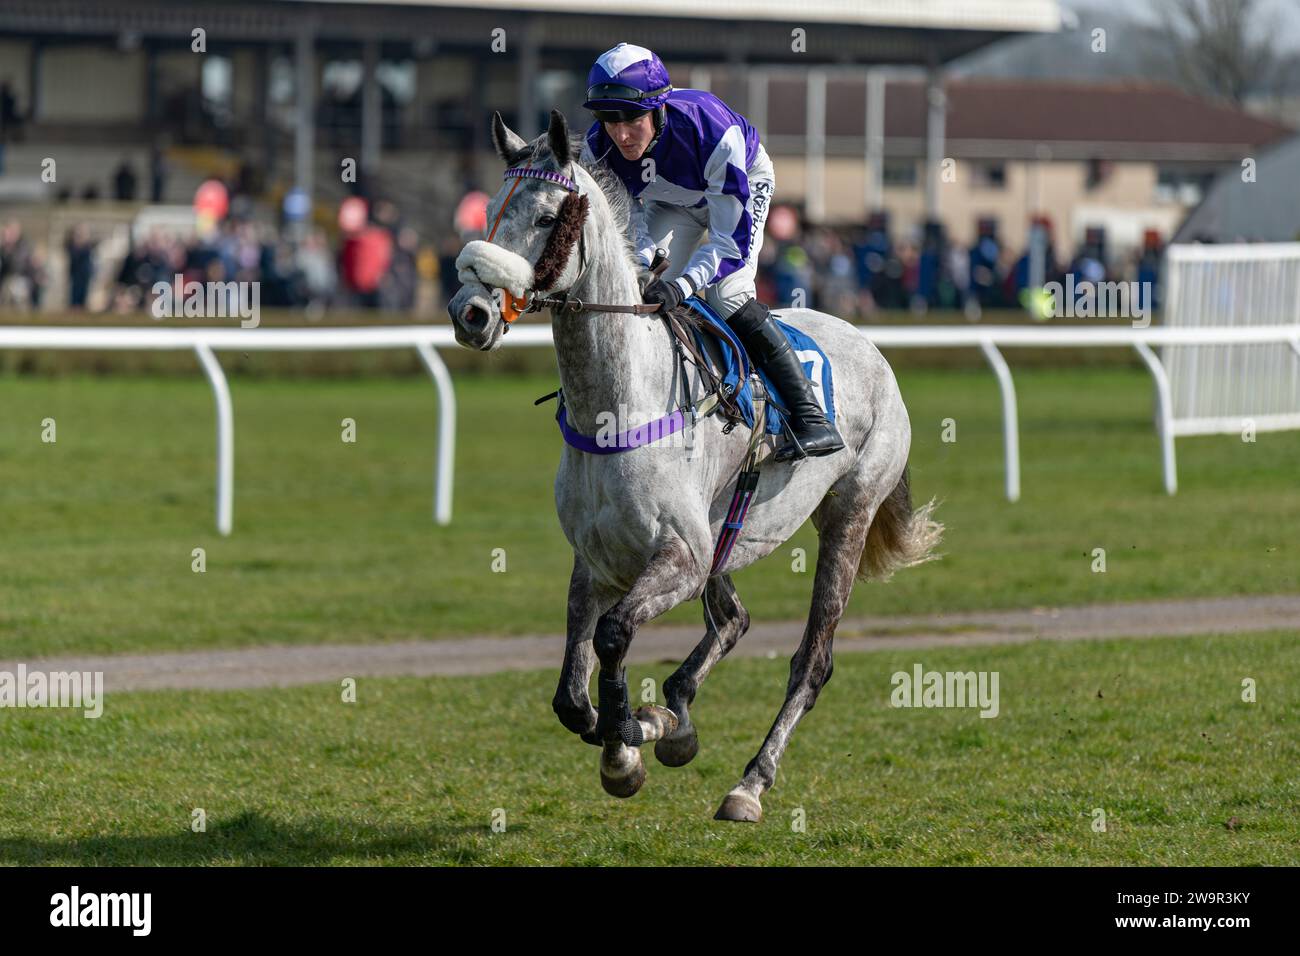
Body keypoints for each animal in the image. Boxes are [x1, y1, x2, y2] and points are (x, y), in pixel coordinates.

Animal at [452, 110, 941, 822]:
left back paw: (749, 782)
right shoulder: (599, 558)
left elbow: (613, 638)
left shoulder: (679, 557)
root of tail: (871, 348)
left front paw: (628, 743)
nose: (471, 312)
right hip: (725, 532)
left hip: (846, 516)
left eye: (546, 217)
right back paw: (678, 714)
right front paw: (643, 728)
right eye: (490, 210)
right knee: (734, 621)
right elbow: (573, 695)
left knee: (811, 662)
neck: (620, 402)